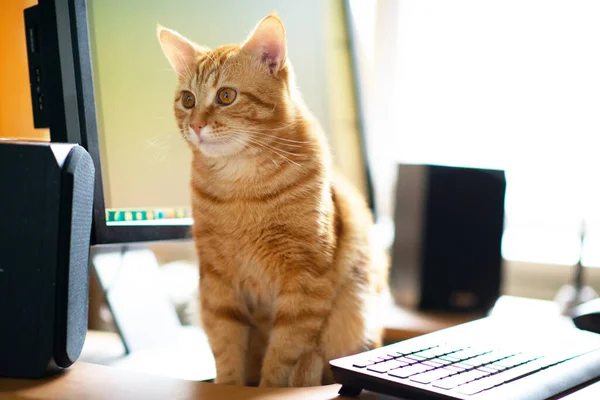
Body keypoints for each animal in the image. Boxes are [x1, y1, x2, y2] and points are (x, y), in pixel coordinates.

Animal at [156, 13, 390, 388]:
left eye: (226, 95)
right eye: (188, 100)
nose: (196, 125)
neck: (243, 190)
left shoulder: (304, 282)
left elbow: (283, 355)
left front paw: (266, 387)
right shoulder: (218, 284)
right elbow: (226, 350)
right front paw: (229, 388)